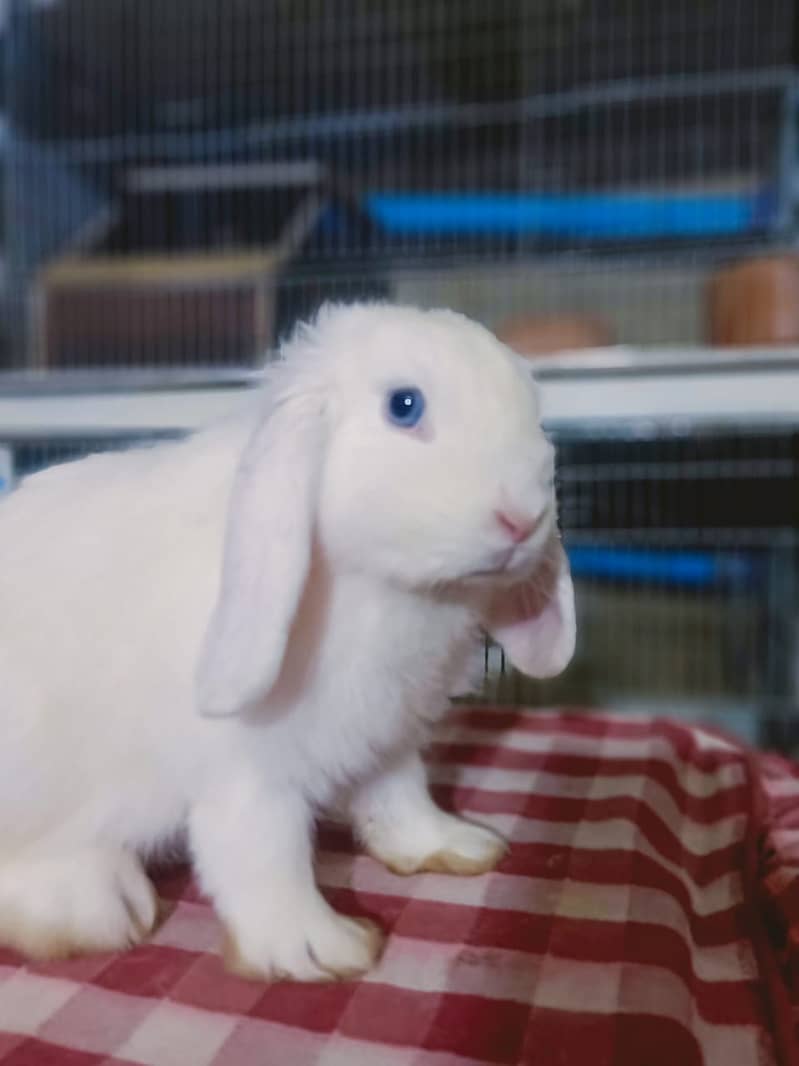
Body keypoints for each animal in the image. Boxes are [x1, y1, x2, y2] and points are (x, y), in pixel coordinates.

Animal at [0, 302, 575, 980]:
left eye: (533, 411)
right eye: (404, 405)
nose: (523, 519)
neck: (381, 588)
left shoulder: (387, 738)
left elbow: (400, 797)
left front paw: (456, 847)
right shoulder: (246, 777)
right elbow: (263, 858)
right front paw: (323, 949)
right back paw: (96, 910)